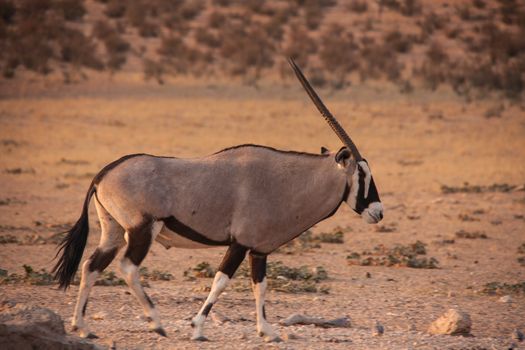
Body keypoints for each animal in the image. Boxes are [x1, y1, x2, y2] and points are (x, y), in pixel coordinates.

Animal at [53, 58, 382, 342]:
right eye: (362, 174)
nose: (378, 212)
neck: (285, 180)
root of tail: (103, 173)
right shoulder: (240, 243)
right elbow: (221, 280)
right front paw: (197, 327)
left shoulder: (258, 250)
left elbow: (260, 286)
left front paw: (267, 331)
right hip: (142, 229)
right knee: (128, 267)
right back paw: (156, 323)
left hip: (112, 230)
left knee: (91, 266)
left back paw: (82, 326)